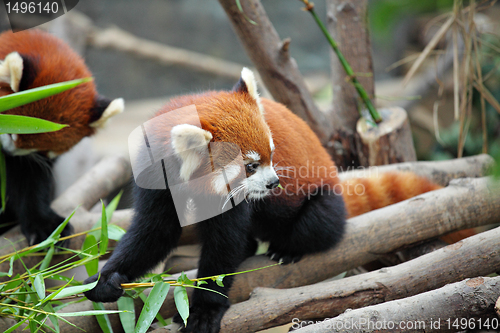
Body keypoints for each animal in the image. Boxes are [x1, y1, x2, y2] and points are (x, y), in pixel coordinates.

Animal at [85, 68, 446, 332]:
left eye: (272, 155)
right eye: (250, 166)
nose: (274, 182)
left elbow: (223, 245)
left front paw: (204, 309)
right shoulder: (156, 181)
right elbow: (154, 233)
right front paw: (106, 278)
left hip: (326, 200)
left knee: (318, 224)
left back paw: (288, 248)